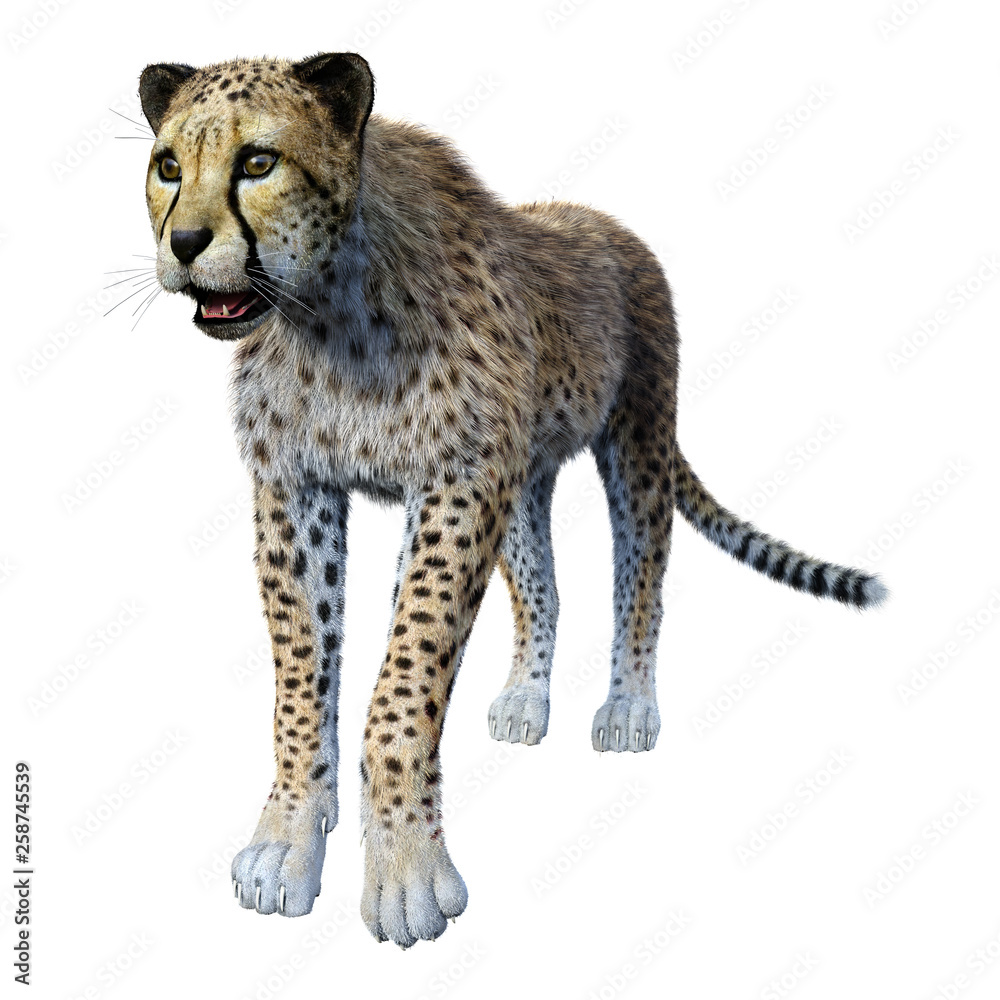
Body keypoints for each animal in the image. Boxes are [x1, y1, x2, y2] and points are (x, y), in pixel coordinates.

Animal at [137, 51, 887, 948]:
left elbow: (405, 679)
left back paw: (628, 706)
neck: (324, 315)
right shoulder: (300, 487)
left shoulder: (457, 482)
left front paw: (405, 872)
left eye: (258, 162)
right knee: (542, 589)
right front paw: (289, 838)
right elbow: (304, 674)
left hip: (636, 442)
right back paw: (528, 697)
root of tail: (603, 219)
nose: (184, 244)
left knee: (640, 583)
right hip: (524, 478)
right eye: (168, 166)